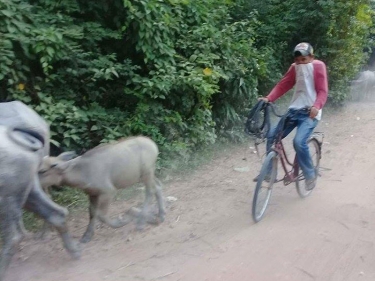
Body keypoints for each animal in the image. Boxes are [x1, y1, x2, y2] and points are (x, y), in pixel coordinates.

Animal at [39, 135, 167, 242]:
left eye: (42, 171)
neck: (82, 172)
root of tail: (154, 146)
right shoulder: (92, 194)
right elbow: (92, 213)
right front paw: (86, 236)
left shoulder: (108, 191)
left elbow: (101, 215)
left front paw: (122, 221)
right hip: (146, 175)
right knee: (158, 186)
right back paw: (161, 214)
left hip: (147, 173)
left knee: (150, 191)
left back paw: (141, 222)